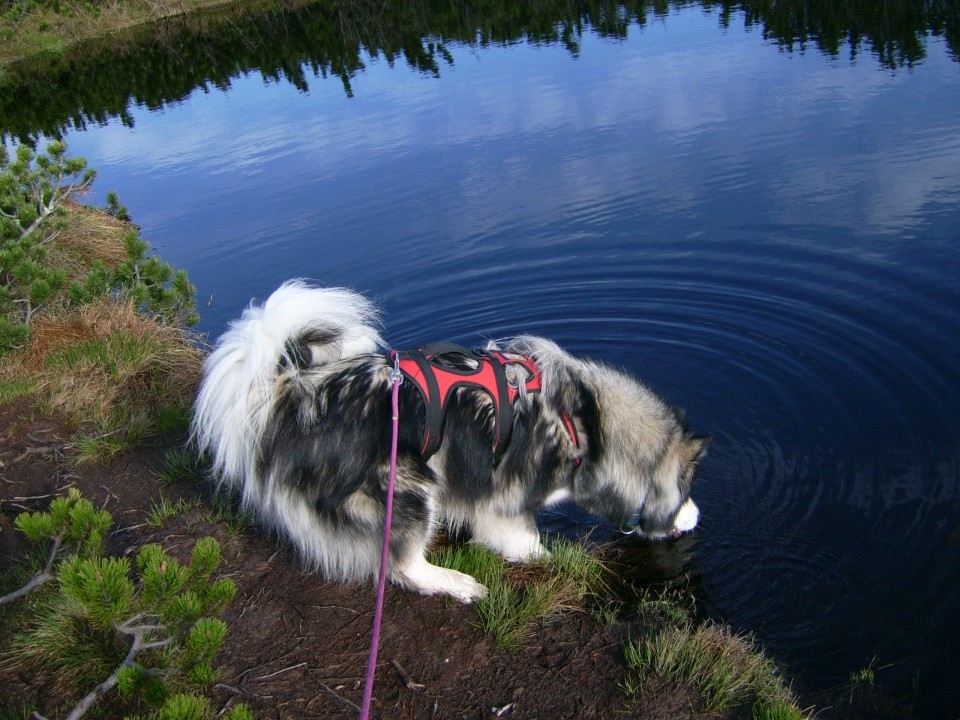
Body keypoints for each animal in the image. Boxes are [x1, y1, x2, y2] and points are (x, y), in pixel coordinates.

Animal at [191, 282, 708, 600]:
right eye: (686, 490)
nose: (699, 517)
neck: (582, 422)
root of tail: (293, 398)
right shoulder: (506, 505)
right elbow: (528, 545)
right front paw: (561, 559)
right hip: (407, 488)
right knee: (403, 567)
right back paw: (458, 583)